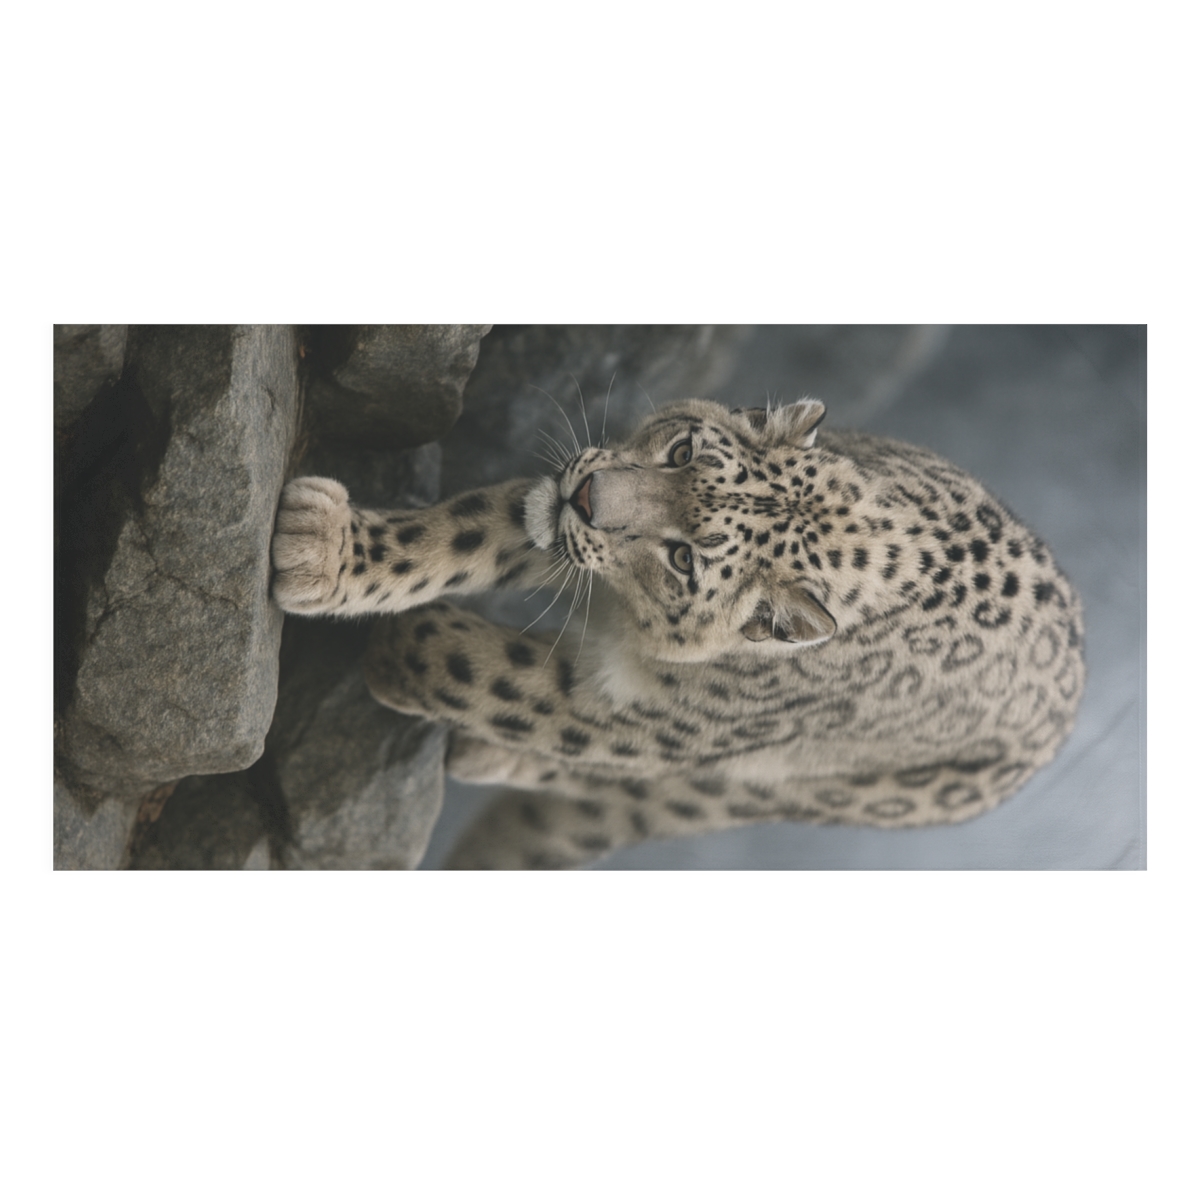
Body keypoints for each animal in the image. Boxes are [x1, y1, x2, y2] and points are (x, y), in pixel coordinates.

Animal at [270, 397, 1085, 869]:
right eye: (683, 451)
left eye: (685, 559)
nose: (584, 496)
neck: (621, 615)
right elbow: (470, 532)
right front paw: (319, 547)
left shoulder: (640, 718)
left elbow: (483, 676)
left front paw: (397, 645)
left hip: (787, 781)